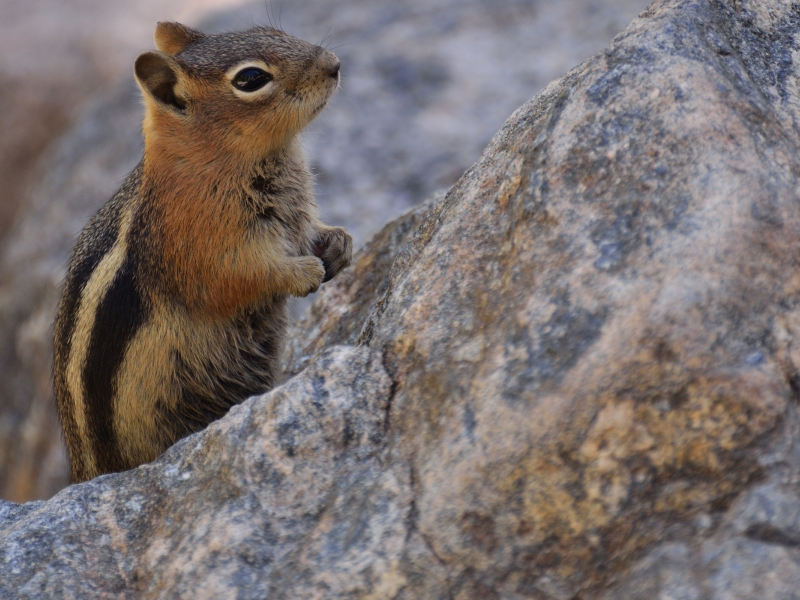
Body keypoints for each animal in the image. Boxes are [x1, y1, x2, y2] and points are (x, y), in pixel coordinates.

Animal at [50, 22, 350, 482]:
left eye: (272, 29)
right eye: (251, 79)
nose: (334, 64)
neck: (204, 162)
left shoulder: (298, 218)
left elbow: (313, 231)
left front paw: (339, 243)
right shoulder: (203, 246)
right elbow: (239, 277)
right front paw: (305, 273)